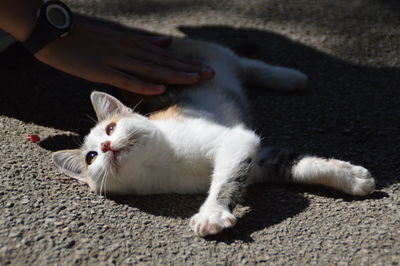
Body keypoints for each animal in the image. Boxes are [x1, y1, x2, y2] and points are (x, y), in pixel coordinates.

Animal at [50, 38, 376, 236]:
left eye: (110, 128)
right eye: (91, 157)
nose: (106, 145)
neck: (161, 161)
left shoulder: (236, 141)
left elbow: (226, 179)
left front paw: (212, 214)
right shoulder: (258, 162)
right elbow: (296, 164)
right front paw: (350, 177)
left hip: (208, 59)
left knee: (244, 64)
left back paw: (288, 77)